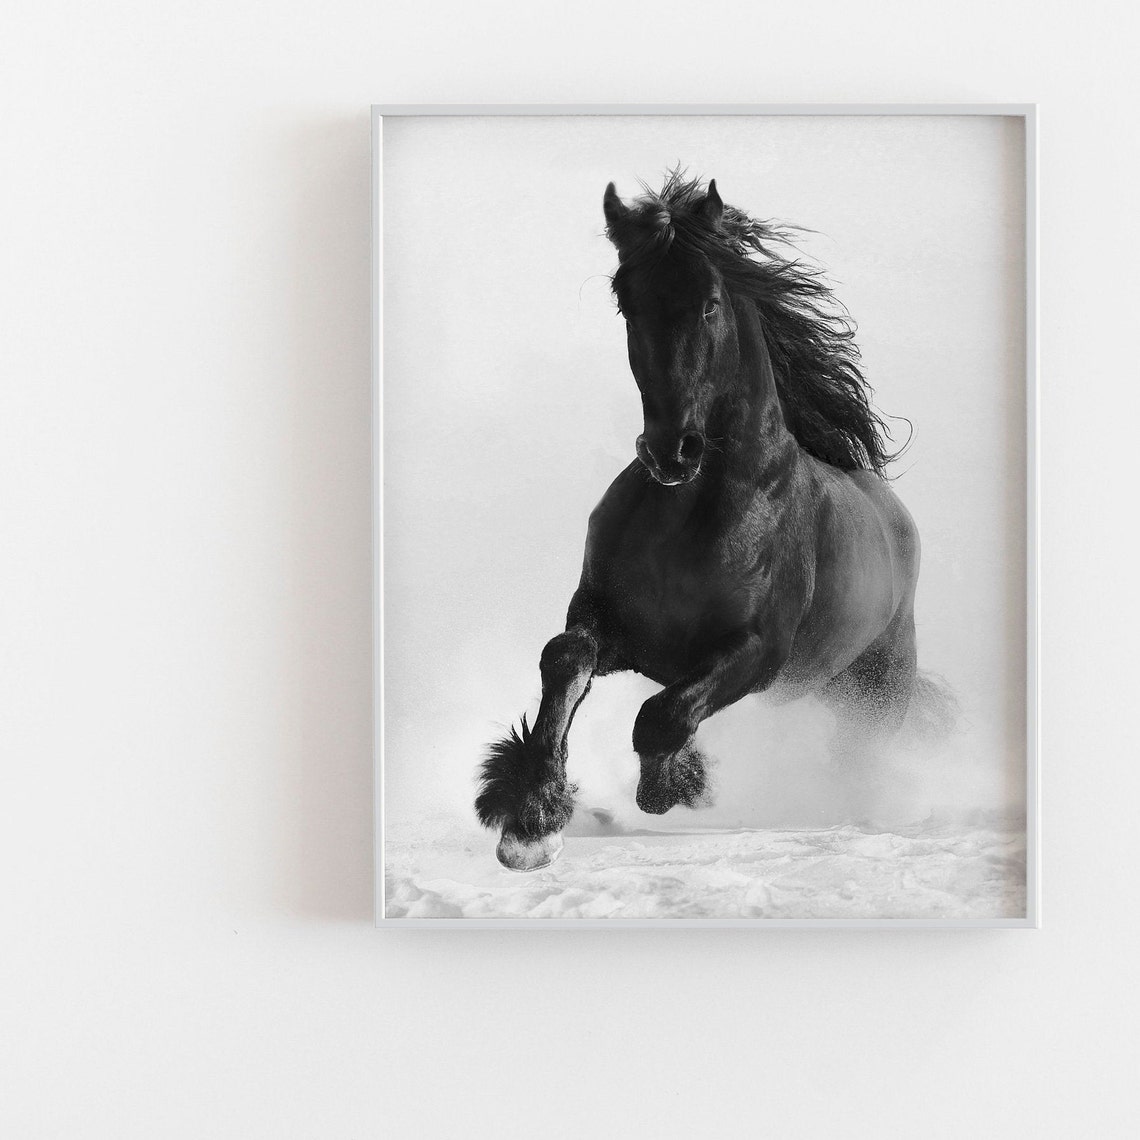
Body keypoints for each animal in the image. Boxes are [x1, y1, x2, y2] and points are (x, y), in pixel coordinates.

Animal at [476, 172, 948, 872]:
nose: (673, 452)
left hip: (875, 694)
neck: (691, 513)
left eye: (710, 303)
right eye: (627, 303)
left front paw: (677, 784)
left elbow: (662, 717)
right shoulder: (610, 622)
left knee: (861, 756)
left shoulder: (757, 652)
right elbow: (564, 659)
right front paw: (529, 821)